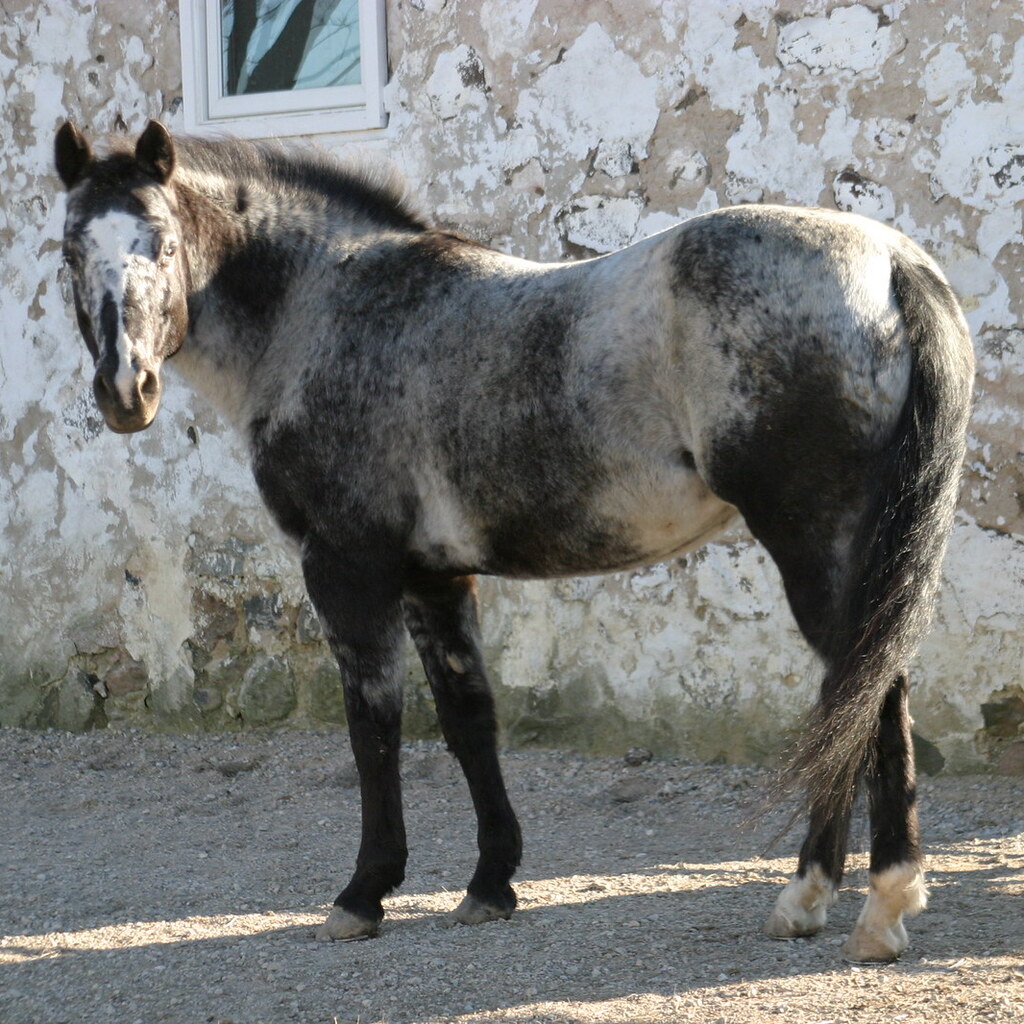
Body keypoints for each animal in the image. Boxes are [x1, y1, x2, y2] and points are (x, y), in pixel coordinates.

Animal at [54, 120, 974, 962]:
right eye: (69, 253)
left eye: (165, 242)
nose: (125, 390)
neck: (324, 311)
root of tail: (892, 262)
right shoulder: (434, 578)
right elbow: (470, 720)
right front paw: (492, 883)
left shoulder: (348, 570)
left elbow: (373, 729)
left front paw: (364, 894)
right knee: (857, 692)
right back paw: (820, 901)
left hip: (818, 546)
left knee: (865, 690)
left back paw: (869, 905)